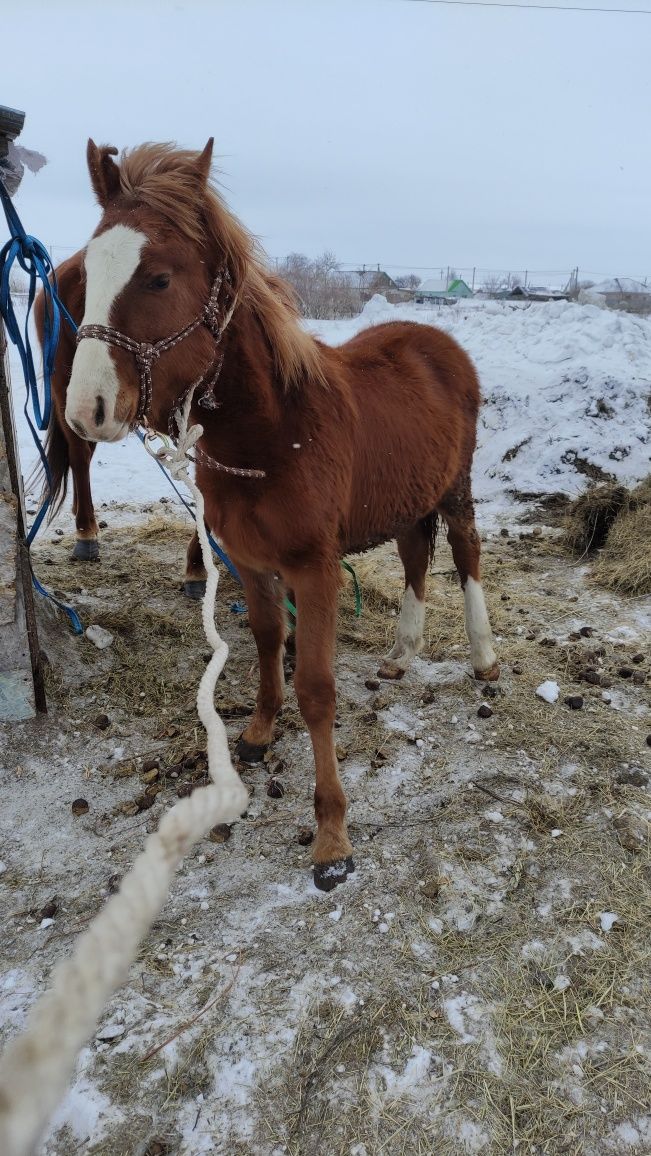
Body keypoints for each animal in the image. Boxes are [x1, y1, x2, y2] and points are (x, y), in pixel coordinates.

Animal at [63, 139, 497, 887]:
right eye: (89, 271)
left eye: (157, 278)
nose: (86, 411)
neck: (271, 432)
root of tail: (440, 345)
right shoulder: (249, 560)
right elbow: (268, 641)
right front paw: (259, 733)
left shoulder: (312, 570)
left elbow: (317, 688)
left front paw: (332, 837)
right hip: (406, 498)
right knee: (416, 554)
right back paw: (401, 654)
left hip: (455, 487)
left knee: (466, 553)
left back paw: (483, 654)